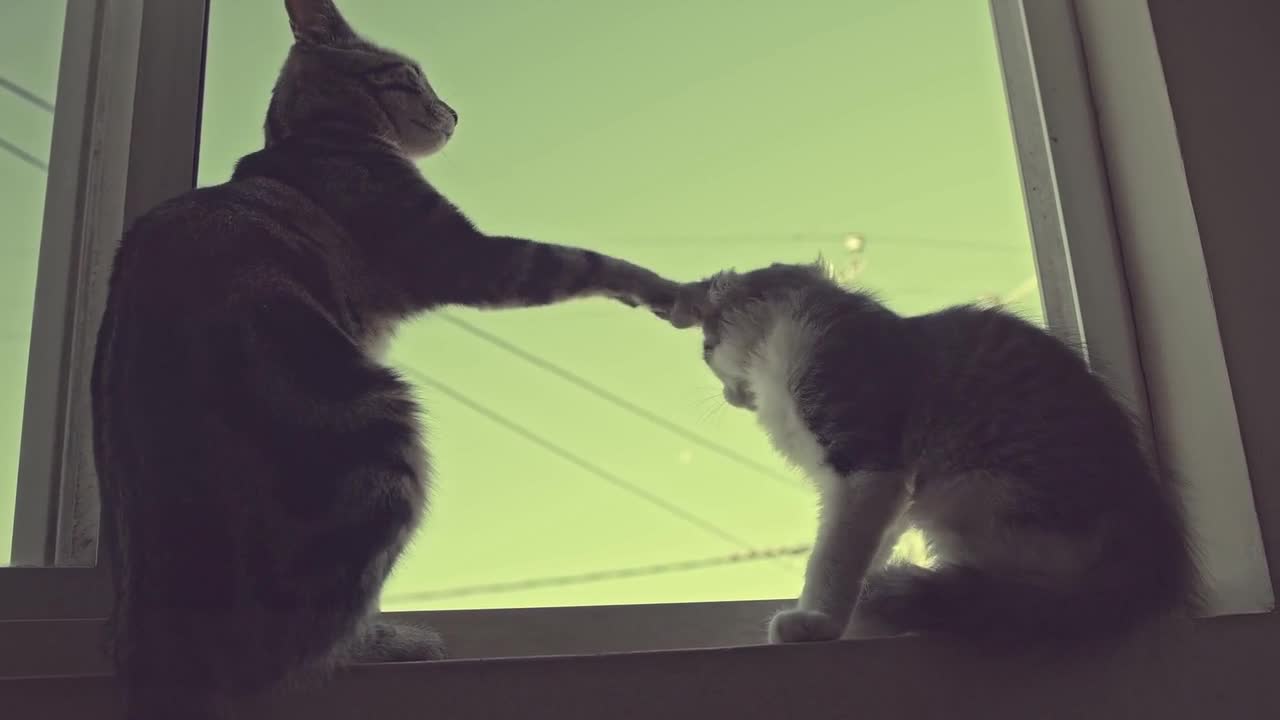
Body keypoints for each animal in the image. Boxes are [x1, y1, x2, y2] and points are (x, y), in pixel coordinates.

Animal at [91, 1, 680, 717]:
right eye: (412, 77)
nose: (452, 112)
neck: (313, 138)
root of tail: (152, 658)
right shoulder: (468, 256)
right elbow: (583, 261)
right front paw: (671, 291)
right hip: (377, 432)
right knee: (299, 651)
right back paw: (393, 642)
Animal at [670, 262, 1198, 645]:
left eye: (707, 349)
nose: (731, 397)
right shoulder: (876, 488)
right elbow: (866, 543)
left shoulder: (865, 462)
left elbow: (835, 555)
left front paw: (818, 620)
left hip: (976, 492)